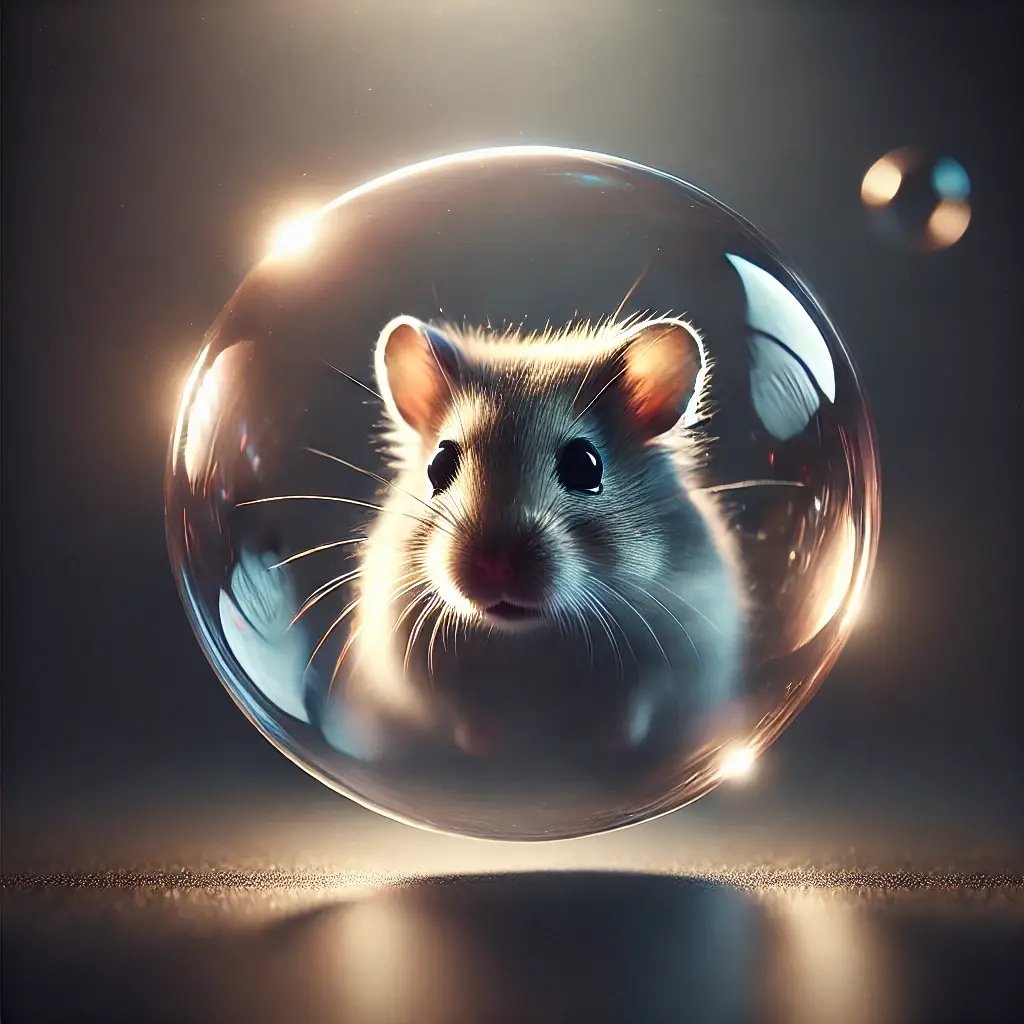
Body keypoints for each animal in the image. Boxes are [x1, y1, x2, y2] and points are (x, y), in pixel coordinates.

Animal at [315, 314, 747, 759]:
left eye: (585, 465)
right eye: (438, 464)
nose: (494, 565)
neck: (529, 637)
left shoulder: (688, 640)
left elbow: (640, 702)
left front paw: (610, 740)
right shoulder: (404, 655)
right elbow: (456, 707)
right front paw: (486, 744)